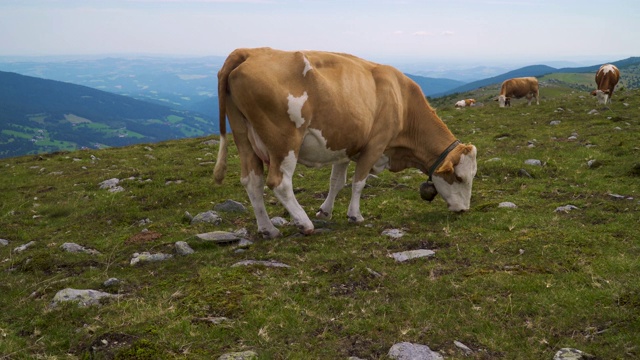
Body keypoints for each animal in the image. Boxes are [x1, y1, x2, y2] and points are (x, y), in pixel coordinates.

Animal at [214, 47, 476, 239]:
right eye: (459, 177)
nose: (465, 209)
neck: (403, 103)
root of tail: (249, 51)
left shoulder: (345, 147)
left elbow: (336, 182)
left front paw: (325, 211)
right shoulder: (375, 145)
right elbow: (358, 183)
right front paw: (354, 215)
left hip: (243, 138)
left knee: (252, 182)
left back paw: (268, 229)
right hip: (284, 140)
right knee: (279, 182)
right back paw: (304, 223)